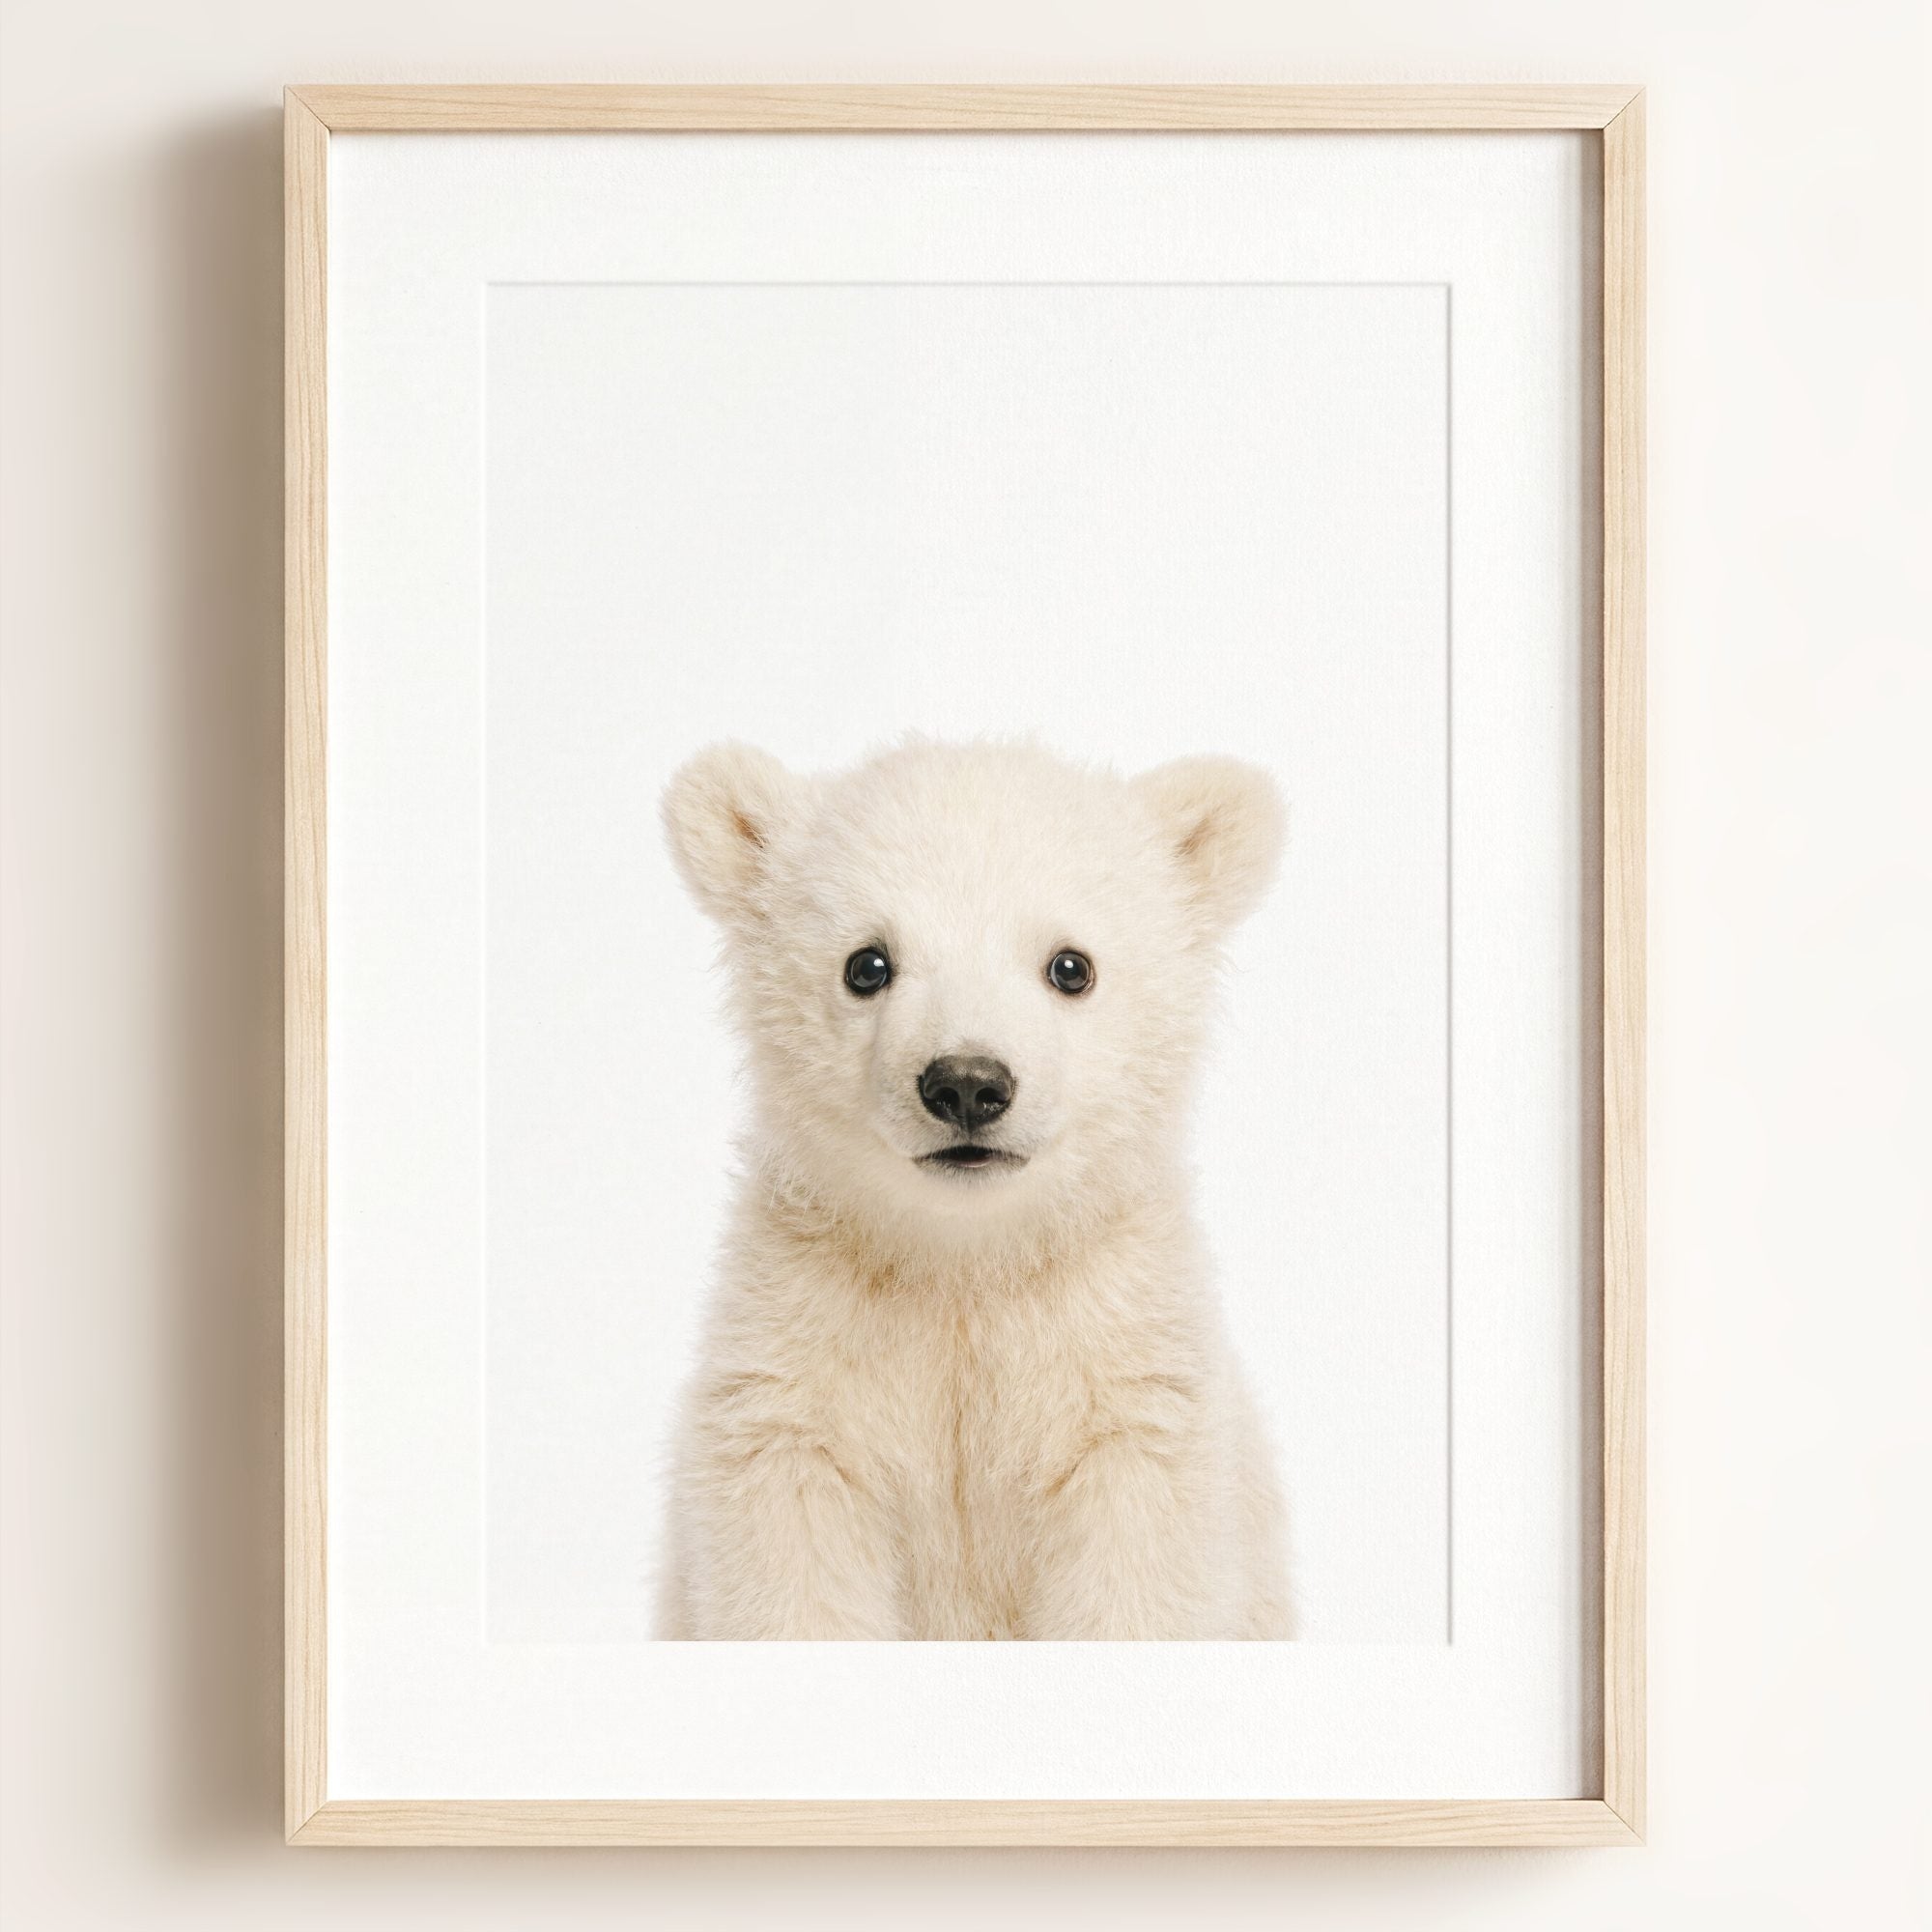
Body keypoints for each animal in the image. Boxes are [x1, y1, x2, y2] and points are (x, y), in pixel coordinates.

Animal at [654, 737, 1291, 1639]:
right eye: (867, 964)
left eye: (1071, 966)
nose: (966, 1084)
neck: (966, 1260)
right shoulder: (798, 1365)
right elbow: (792, 1562)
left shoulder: (1124, 1376)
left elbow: (1135, 1573)